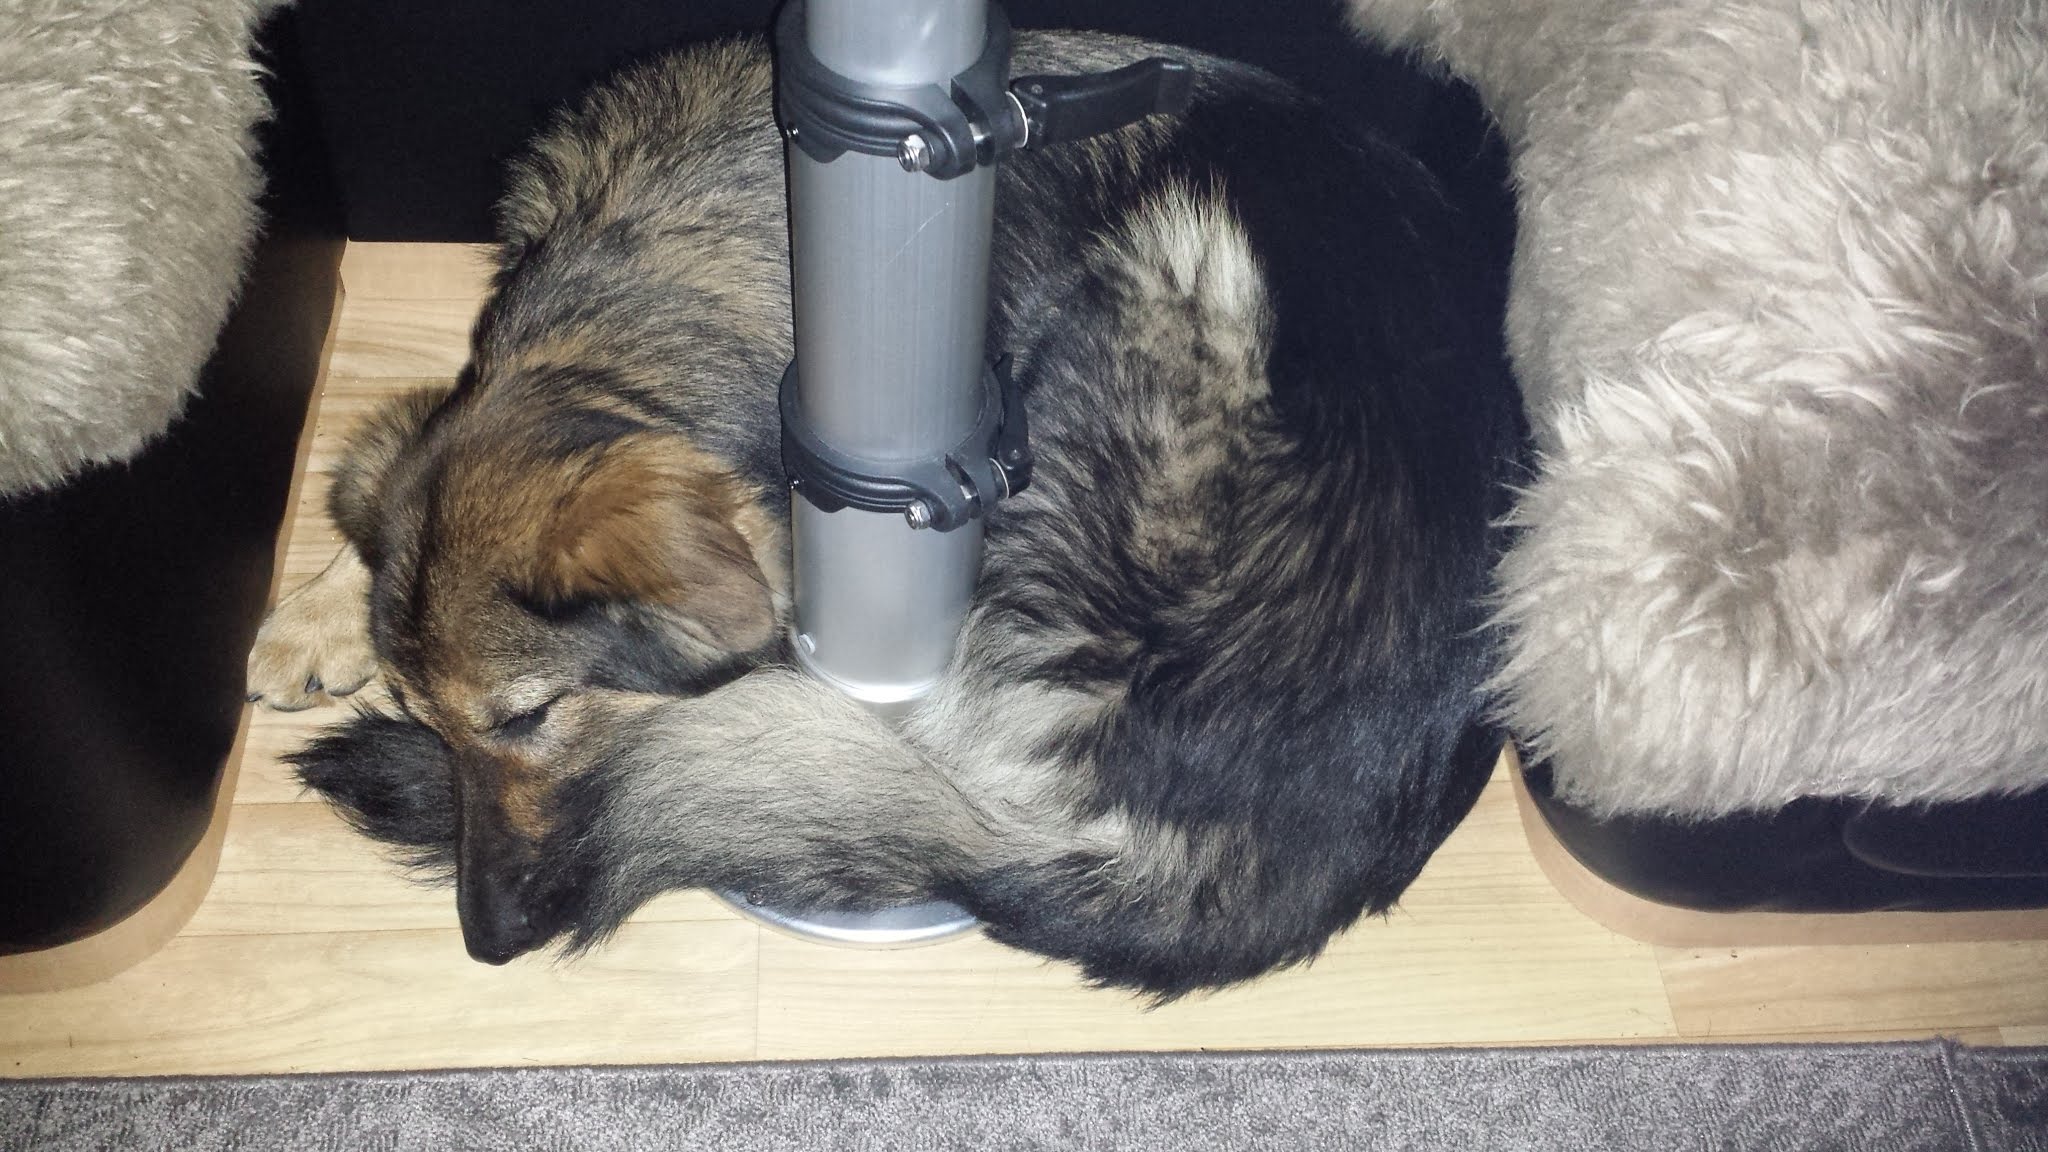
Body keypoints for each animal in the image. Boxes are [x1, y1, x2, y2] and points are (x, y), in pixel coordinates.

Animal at [246, 33, 1524, 997]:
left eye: (528, 717)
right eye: (432, 717)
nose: (487, 941)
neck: (645, 280)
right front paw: (313, 616)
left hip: (1188, 257)